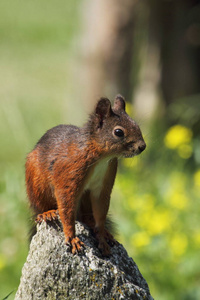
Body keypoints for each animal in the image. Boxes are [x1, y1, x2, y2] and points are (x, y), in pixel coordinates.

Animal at [25, 95, 146, 255]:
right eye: (118, 132)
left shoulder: (103, 185)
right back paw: (47, 213)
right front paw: (71, 238)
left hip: (85, 198)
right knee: (40, 206)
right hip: (36, 184)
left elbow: (100, 212)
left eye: (136, 125)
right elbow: (66, 207)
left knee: (86, 217)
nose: (142, 146)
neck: (102, 157)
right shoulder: (69, 174)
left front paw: (101, 238)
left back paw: (102, 230)